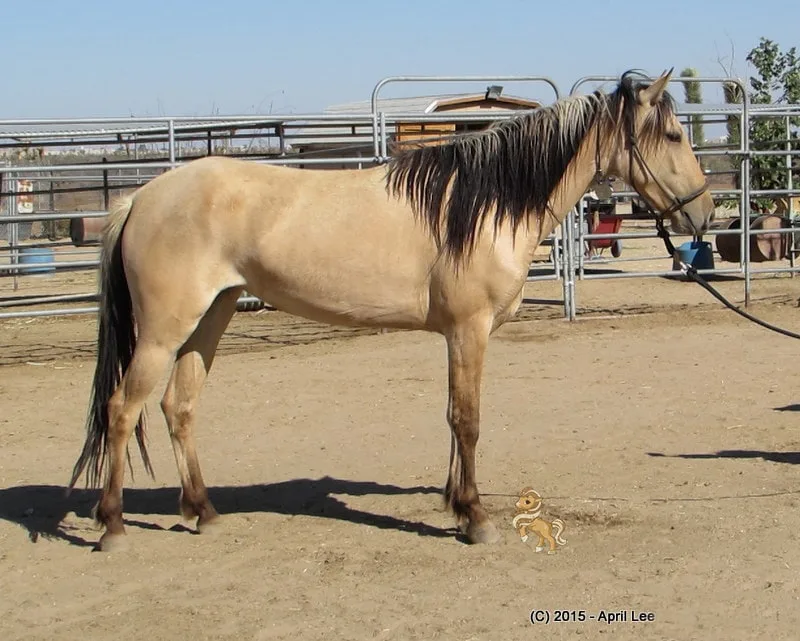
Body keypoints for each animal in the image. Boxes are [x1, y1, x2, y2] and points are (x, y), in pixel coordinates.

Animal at [67, 69, 712, 552]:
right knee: (122, 409)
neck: (481, 204)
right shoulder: (469, 331)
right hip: (163, 331)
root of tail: (141, 198)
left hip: (211, 317)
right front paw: (476, 519)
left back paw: (202, 512)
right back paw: (113, 526)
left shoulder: (456, 336)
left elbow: (453, 416)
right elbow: (468, 419)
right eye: (672, 135)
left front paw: (456, 505)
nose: (702, 214)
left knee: (179, 408)